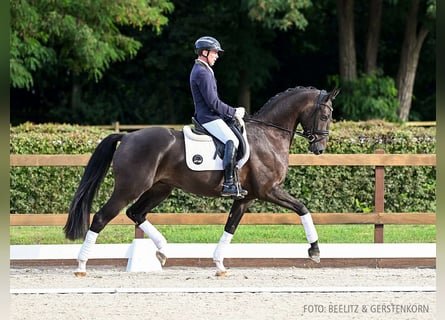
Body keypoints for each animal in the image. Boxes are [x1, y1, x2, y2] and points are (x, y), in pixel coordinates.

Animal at [64, 86, 338, 276]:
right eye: (325, 115)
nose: (320, 148)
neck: (268, 134)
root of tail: (128, 137)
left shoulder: (246, 197)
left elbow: (230, 227)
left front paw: (219, 264)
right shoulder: (268, 190)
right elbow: (302, 208)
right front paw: (315, 251)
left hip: (160, 189)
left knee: (135, 213)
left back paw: (162, 250)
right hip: (129, 188)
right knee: (101, 218)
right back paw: (81, 266)